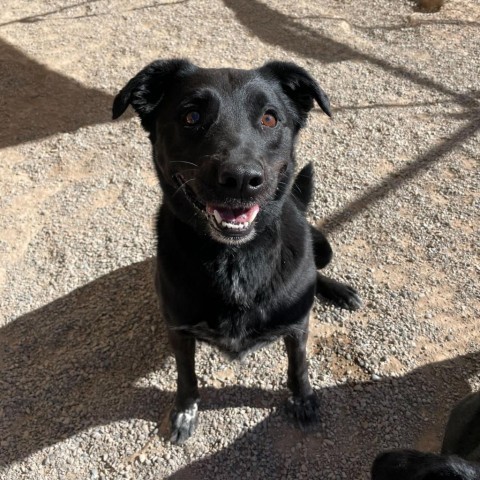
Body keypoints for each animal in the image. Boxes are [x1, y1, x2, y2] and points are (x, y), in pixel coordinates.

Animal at [111, 61, 360, 446]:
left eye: (270, 118)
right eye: (191, 116)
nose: (241, 179)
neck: (235, 261)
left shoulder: (298, 326)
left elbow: (299, 365)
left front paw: (302, 399)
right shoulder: (178, 330)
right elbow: (185, 376)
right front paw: (185, 412)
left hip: (323, 247)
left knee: (317, 272)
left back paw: (340, 291)